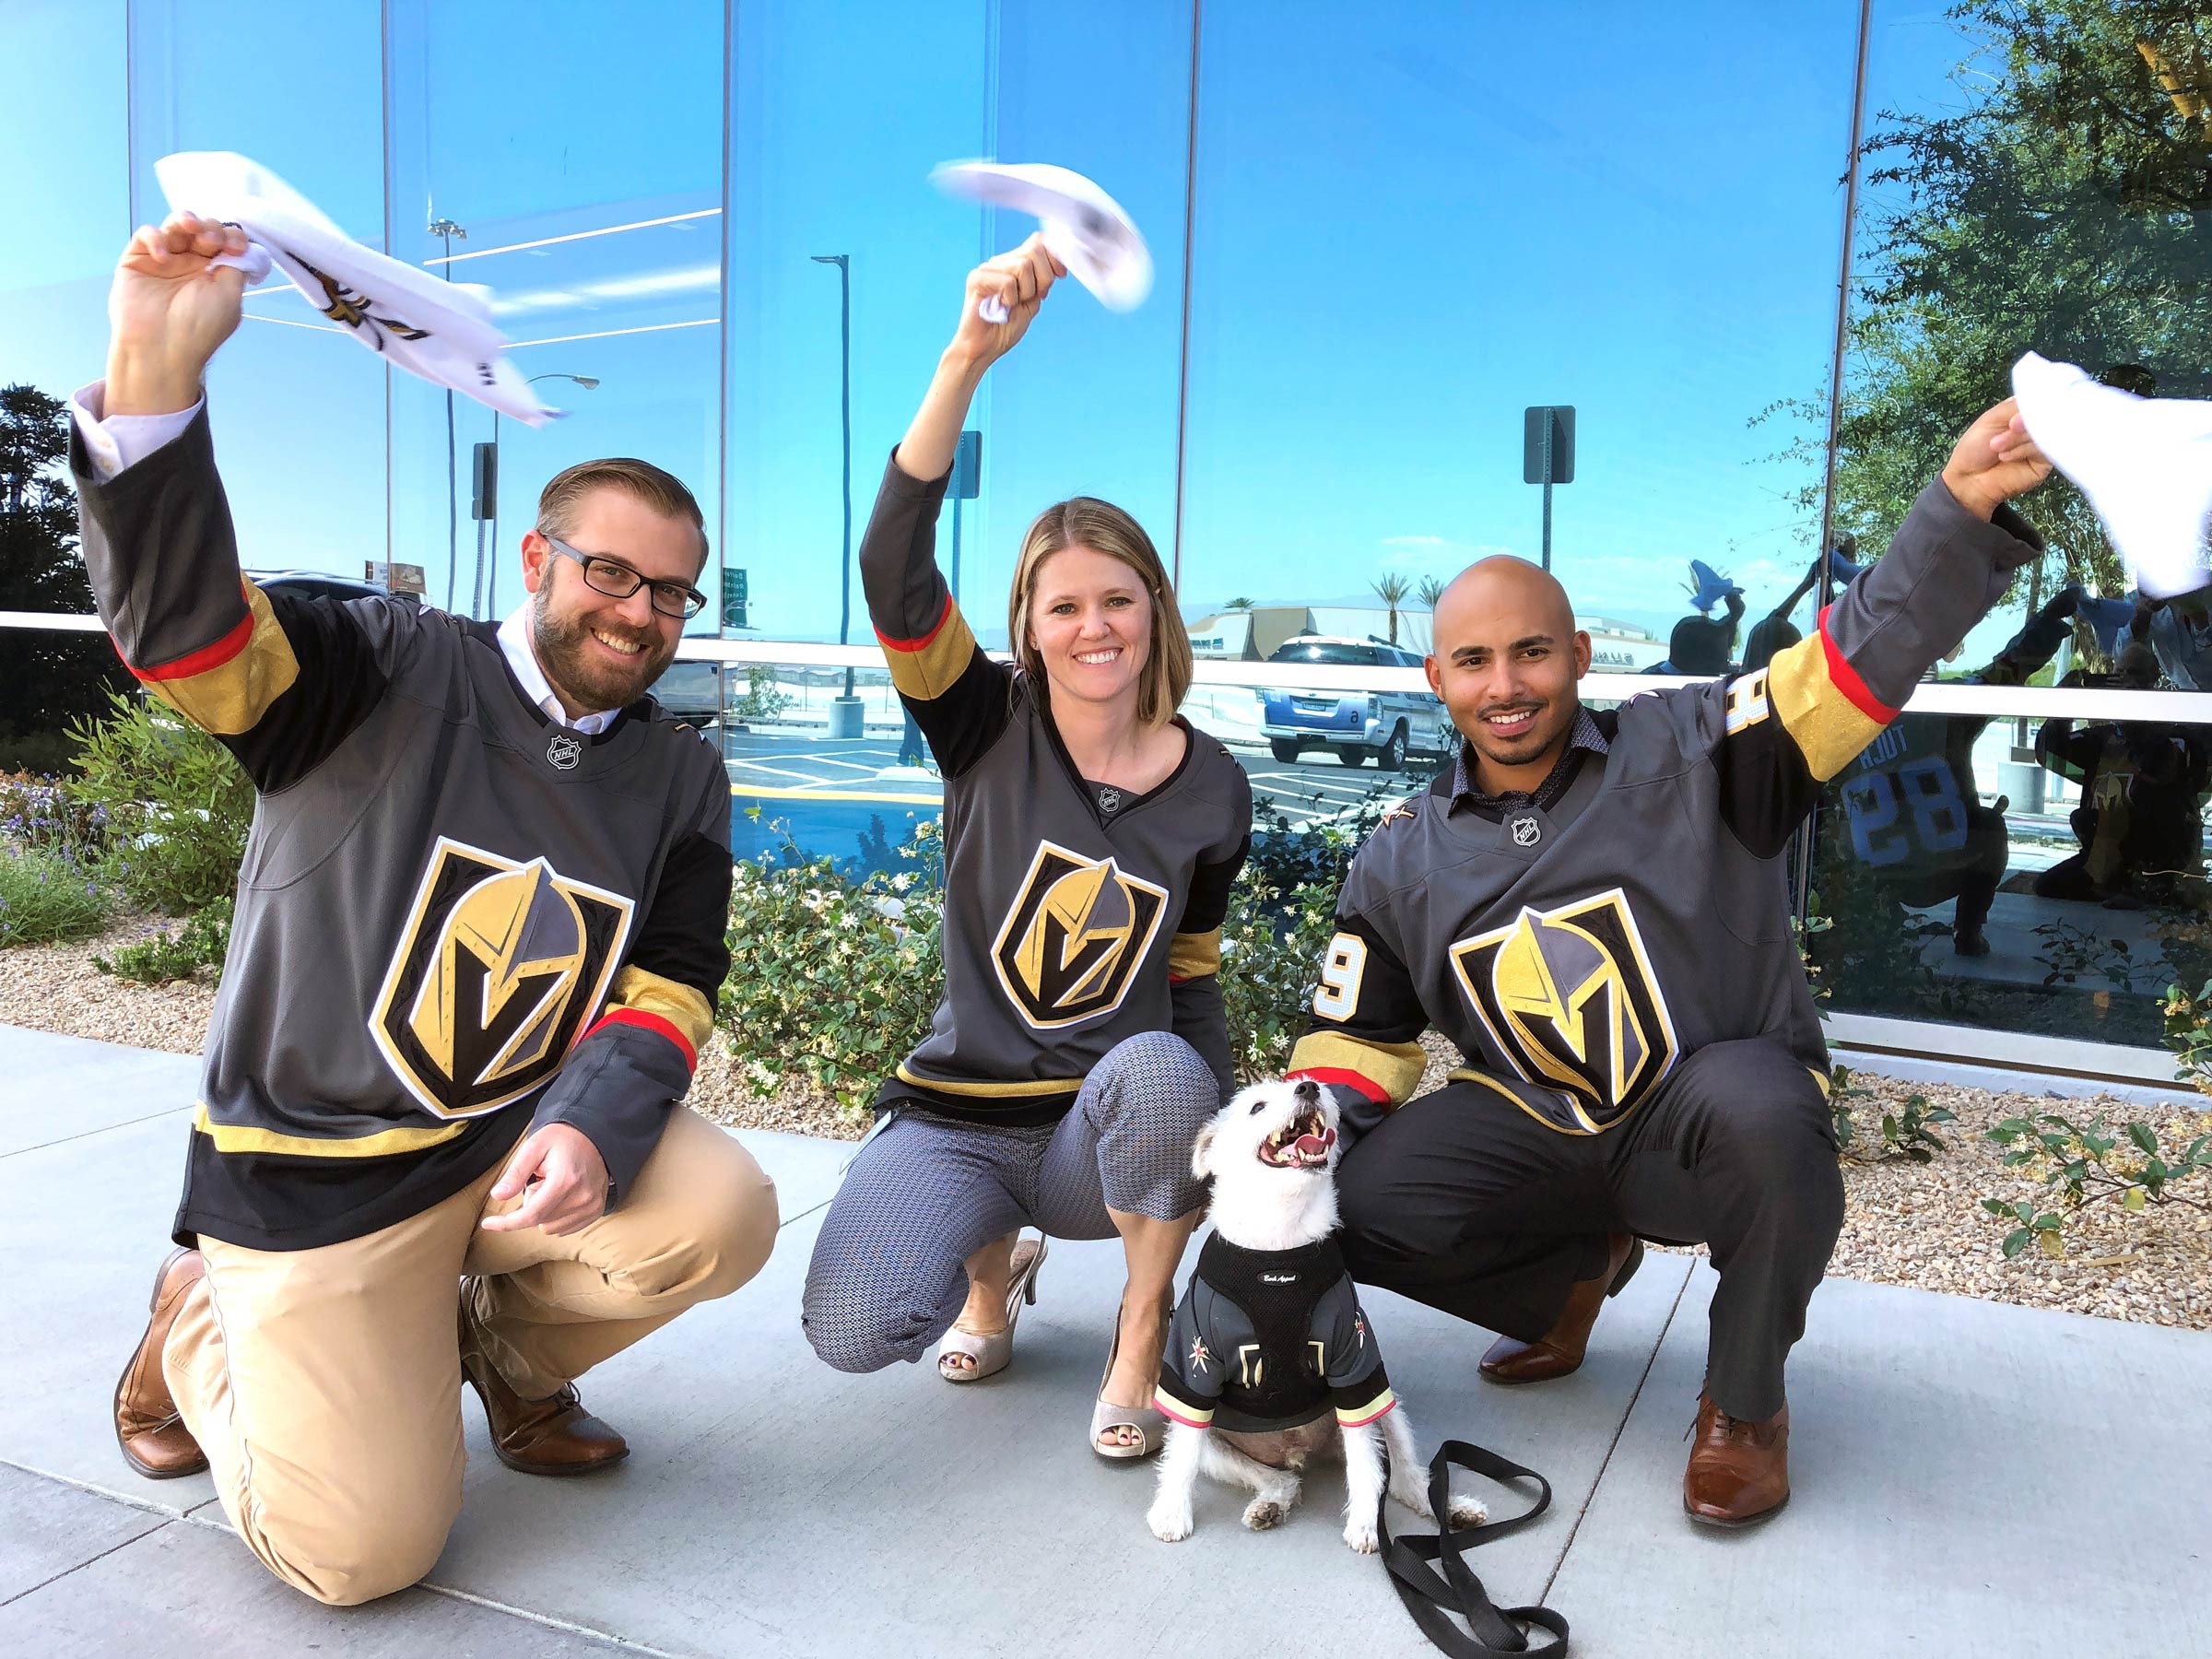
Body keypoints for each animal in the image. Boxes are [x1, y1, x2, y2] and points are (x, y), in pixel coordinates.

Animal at [1141, 1079, 1486, 1557]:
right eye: (1257, 1106)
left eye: (1310, 1086)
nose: (1309, 1087)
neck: (1278, 1253)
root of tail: (1301, 1450)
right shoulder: (1194, 1374)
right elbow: (1181, 1457)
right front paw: (1172, 1513)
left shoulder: (1355, 1367)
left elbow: (1365, 1467)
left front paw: (1365, 1523)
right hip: (1220, 1444)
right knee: (1279, 1478)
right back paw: (1270, 1503)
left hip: (1385, 1407)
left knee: (1404, 1478)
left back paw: (1452, 1508)